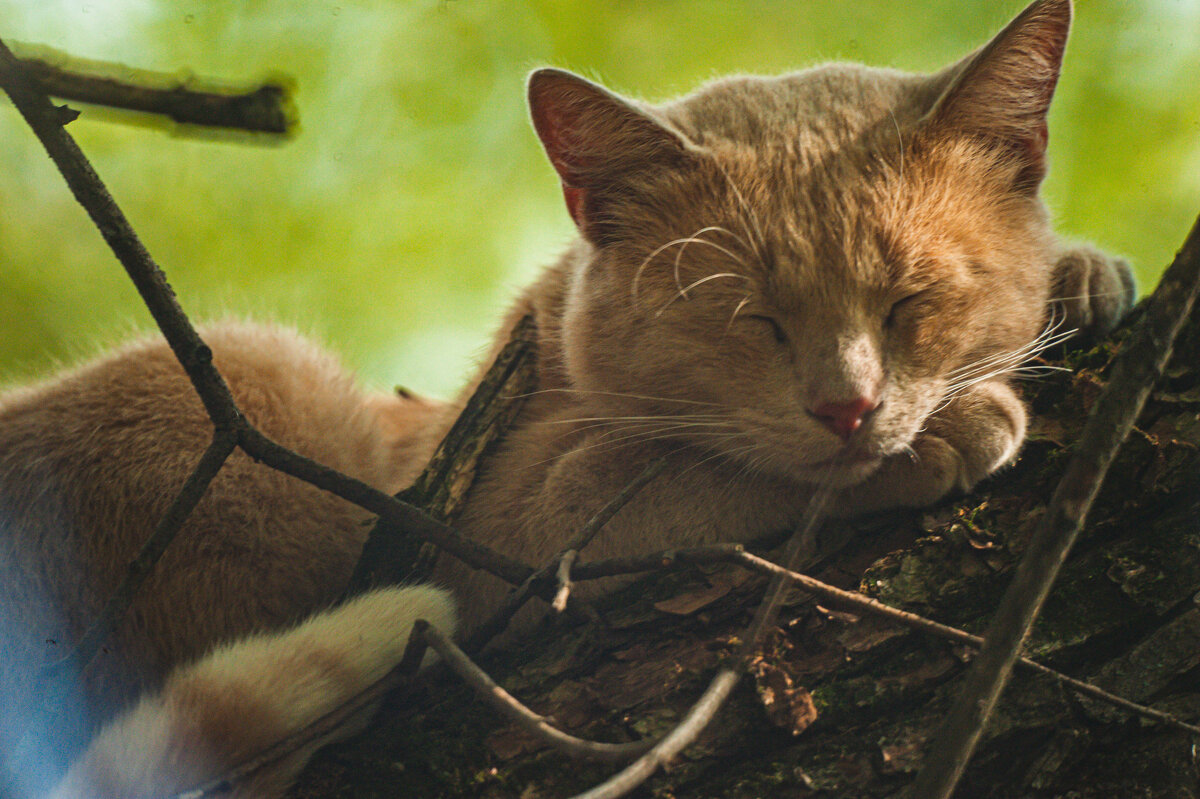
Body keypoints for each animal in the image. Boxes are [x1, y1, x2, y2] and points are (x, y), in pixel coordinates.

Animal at [0, 0, 1132, 791]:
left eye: (910, 302)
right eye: (752, 318)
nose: (848, 406)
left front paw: (1082, 279)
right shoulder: (513, 518)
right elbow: (709, 471)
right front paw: (958, 424)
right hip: (267, 377)